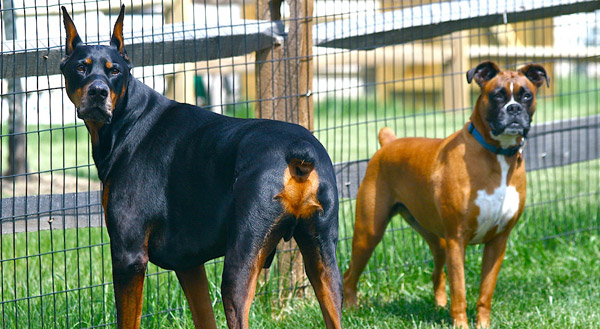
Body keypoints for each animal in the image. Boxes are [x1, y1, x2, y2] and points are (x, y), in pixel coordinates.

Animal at [342, 60, 548, 326]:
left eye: (526, 95)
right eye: (497, 95)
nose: (513, 109)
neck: (497, 155)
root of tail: (389, 143)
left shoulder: (497, 242)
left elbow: (485, 291)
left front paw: (482, 324)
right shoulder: (457, 240)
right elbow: (459, 290)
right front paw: (461, 324)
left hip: (435, 238)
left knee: (436, 274)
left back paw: (439, 305)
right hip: (369, 232)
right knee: (349, 275)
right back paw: (350, 310)